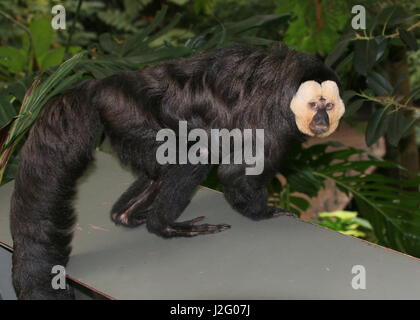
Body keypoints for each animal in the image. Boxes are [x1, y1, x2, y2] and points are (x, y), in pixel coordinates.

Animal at [9, 43, 344, 298]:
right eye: (315, 105)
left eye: (328, 107)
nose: (322, 121)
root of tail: (98, 88)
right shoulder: (272, 122)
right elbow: (234, 175)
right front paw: (266, 212)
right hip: (129, 114)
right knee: (194, 156)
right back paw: (163, 225)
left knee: (162, 169)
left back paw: (128, 215)